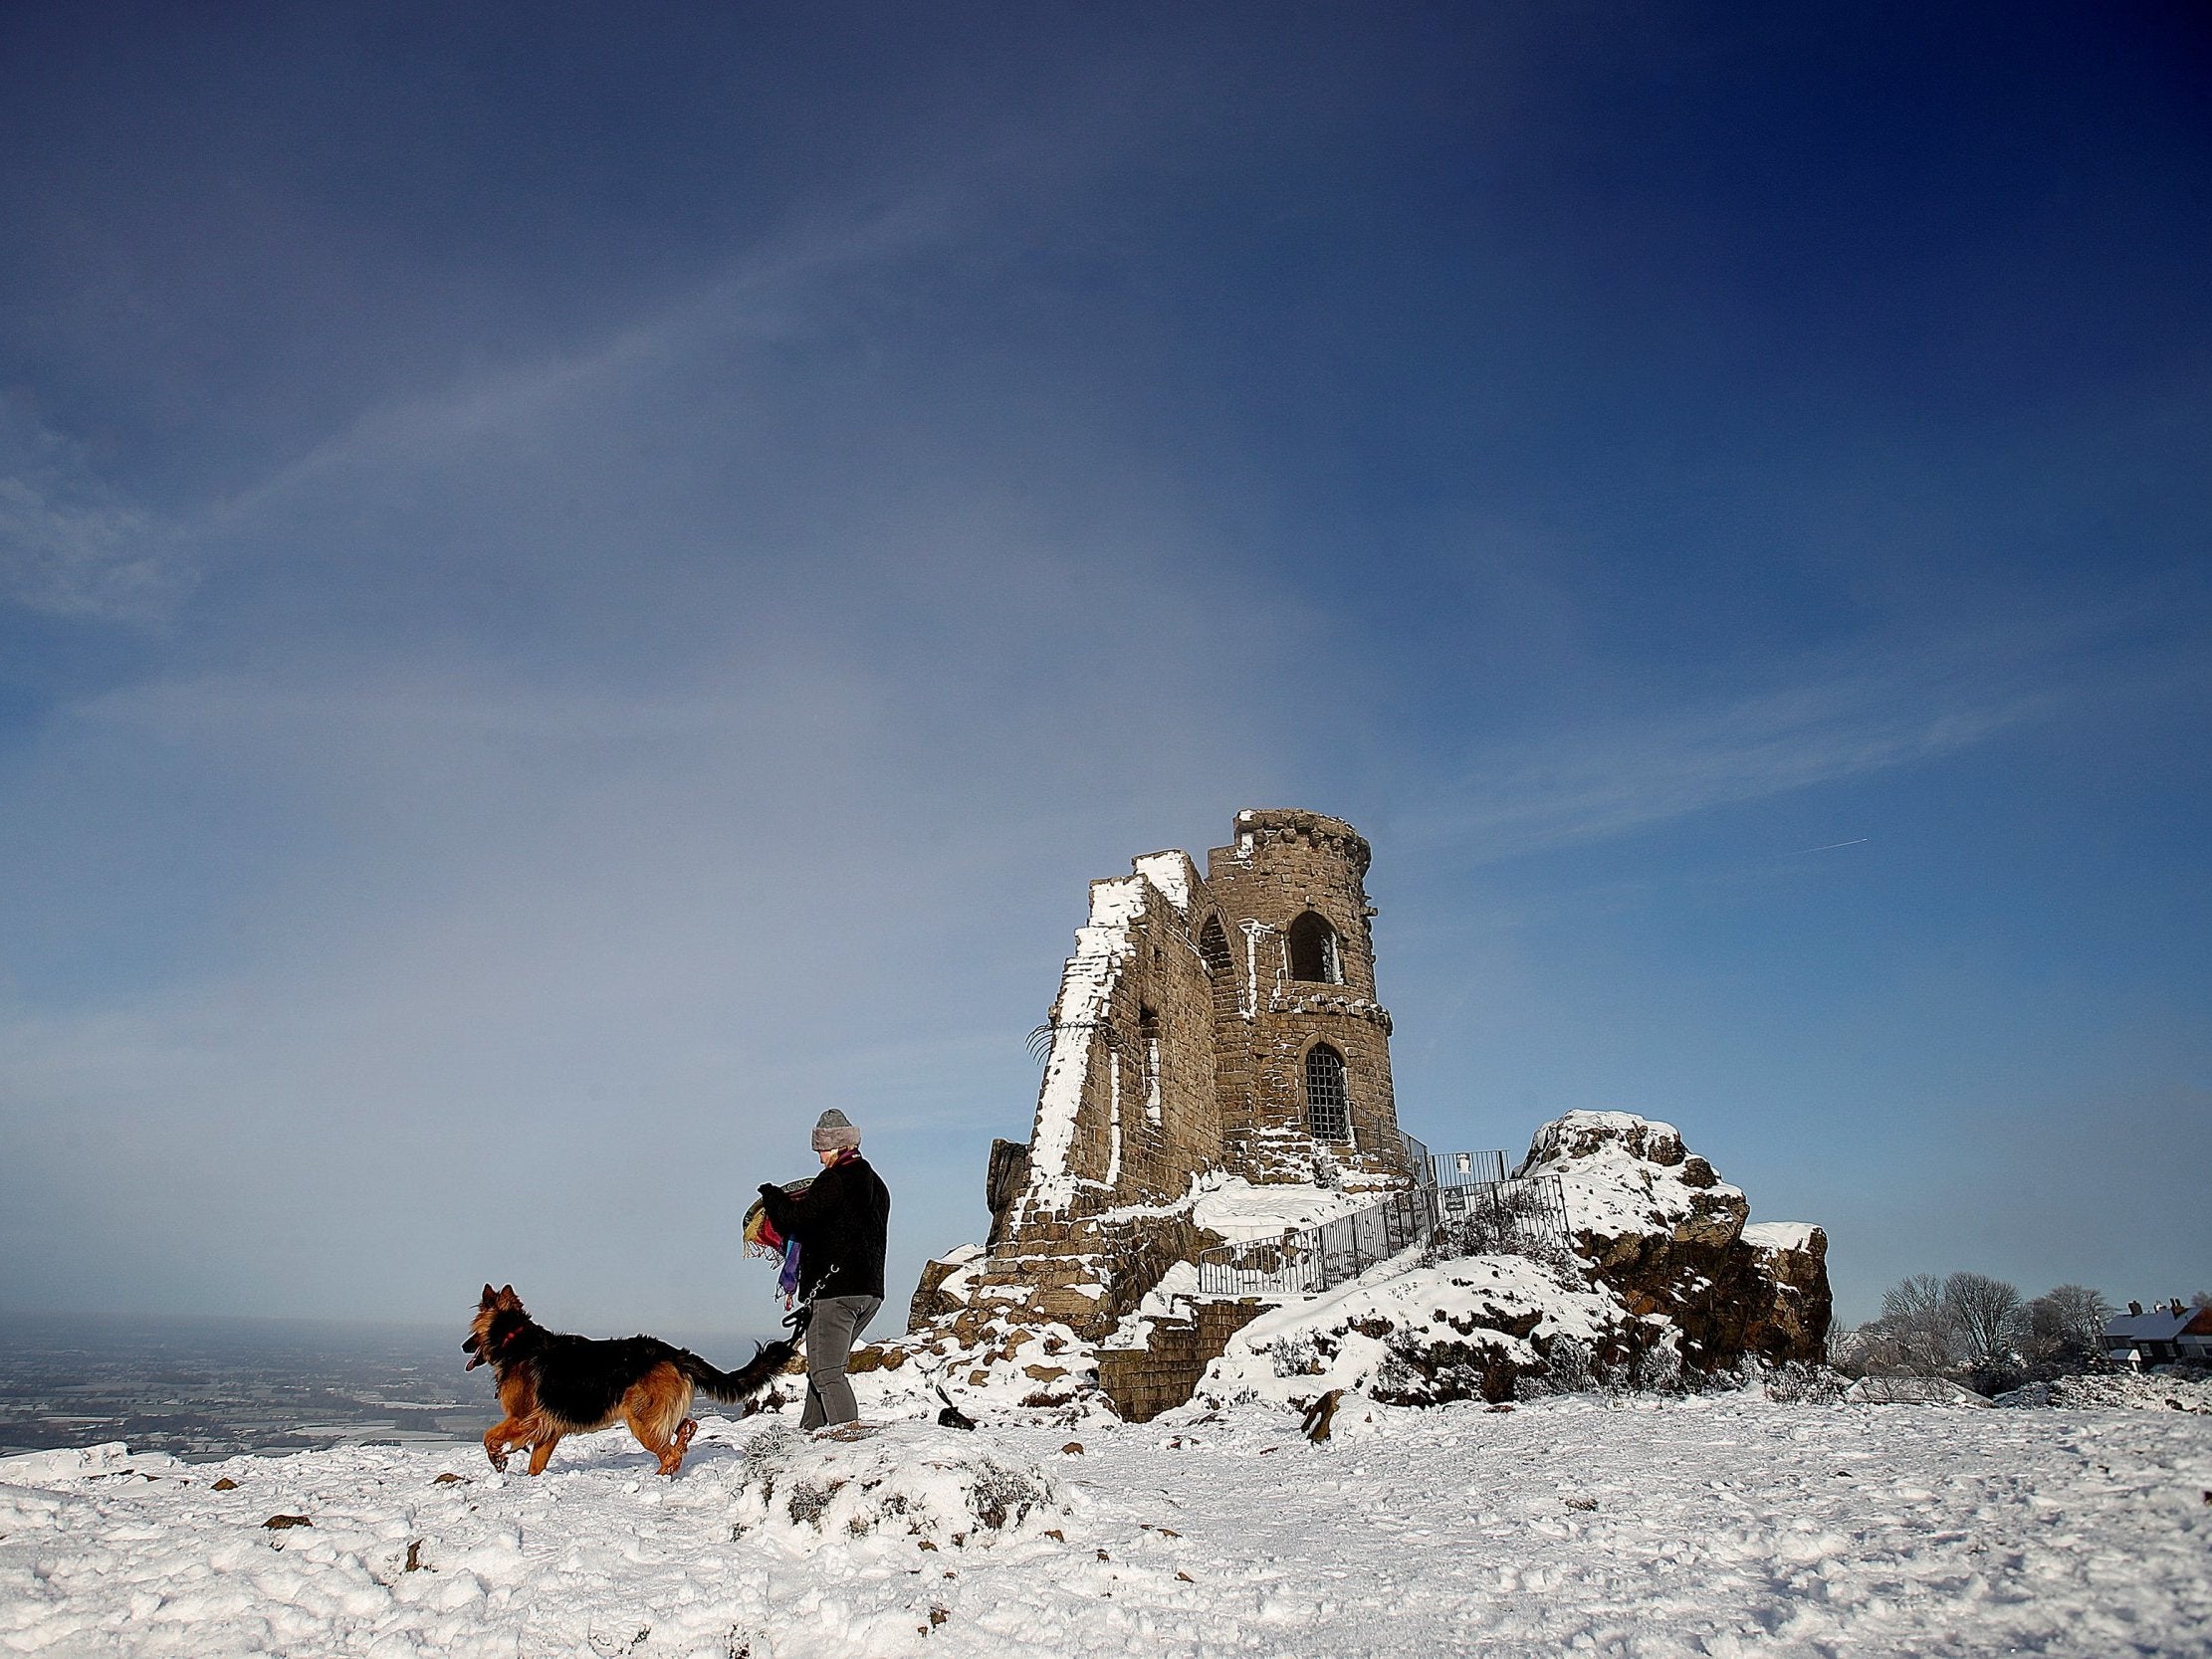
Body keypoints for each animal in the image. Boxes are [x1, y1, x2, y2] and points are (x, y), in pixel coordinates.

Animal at [460, 1283, 795, 1477]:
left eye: (472, 1332)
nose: (463, 1347)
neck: (514, 1338)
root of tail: (673, 1353)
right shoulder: (548, 1426)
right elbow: (535, 1463)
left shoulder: (525, 1417)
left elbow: (489, 1436)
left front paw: (498, 1460)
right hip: (658, 1413)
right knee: (687, 1427)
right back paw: (678, 1451)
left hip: (641, 1419)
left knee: (669, 1452)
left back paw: (662, 1475)